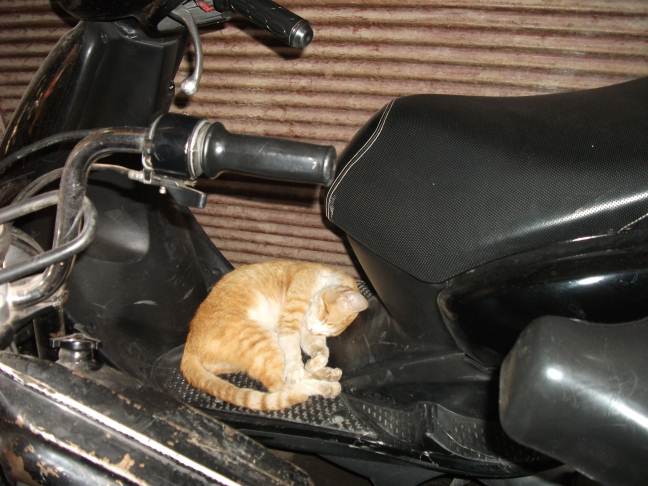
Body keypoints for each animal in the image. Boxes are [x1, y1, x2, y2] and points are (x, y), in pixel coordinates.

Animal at [180, 260, 369, 411]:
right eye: (326, 314)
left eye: (324, 330)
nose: (313, 329)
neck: (322, 277)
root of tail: (190, 346)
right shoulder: (290, 323)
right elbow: (293, 352)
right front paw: (299, 367)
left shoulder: (307, 334)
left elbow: (322, 352)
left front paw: (314, 363)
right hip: (261, 341)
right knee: (284, 385)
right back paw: (327, 386)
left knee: (288, 380)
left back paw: (326, 374)